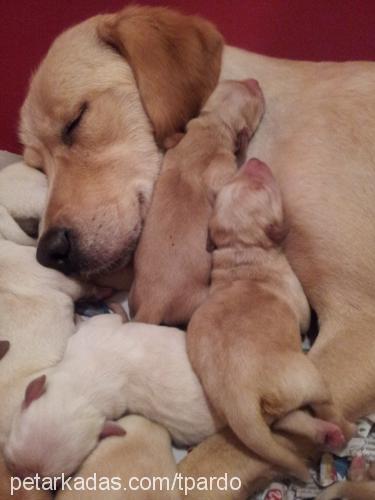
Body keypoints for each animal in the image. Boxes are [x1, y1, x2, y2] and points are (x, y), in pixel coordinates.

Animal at [131, 78, 266, 324]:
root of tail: (153, 304)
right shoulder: (224, 169)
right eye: (255, 99)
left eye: (233, 81)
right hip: (198, 298)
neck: (214, 124)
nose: (254, 81)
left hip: (134, 291)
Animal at [189, 159, 354, 480]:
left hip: (274, 405)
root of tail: (237, 399)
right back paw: (345, 428)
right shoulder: (298, 299)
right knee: (325, 405)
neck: (241, 250)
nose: (254, 161)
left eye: (234, 178)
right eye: (262, 188)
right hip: (306, 376)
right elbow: (304, 318)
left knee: (288, 420)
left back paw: (327, 434)